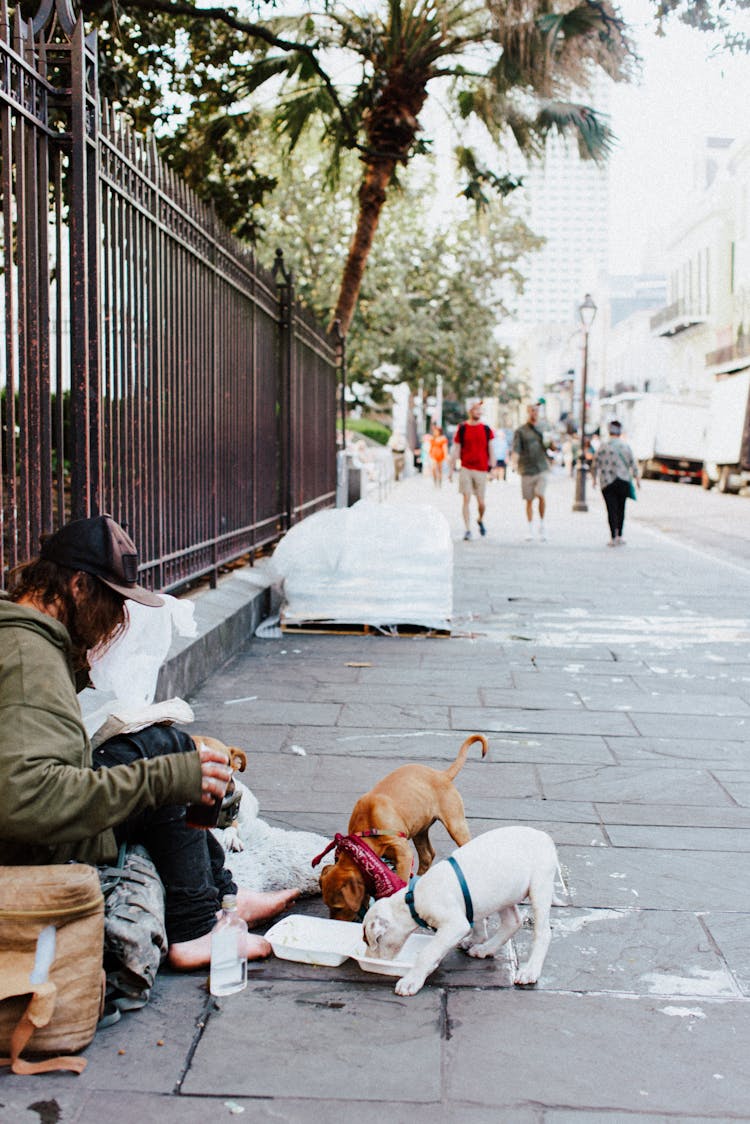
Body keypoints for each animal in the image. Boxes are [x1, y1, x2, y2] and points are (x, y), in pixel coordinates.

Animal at [319, 728, 490, 921]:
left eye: (338, 907)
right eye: (328, 905)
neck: (367, 830)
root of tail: (441, 775)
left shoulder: (403, 853)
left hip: (455, 824)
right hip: (419, 828)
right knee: (427, 855)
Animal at [362, 827, 562, 993]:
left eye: (369, 940)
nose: (369, 959)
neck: (413, 899)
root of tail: (544, 837)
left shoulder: (455, 925)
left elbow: (428, 952)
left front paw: (411, 980)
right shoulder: (470, 907)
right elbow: (477, 923)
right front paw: (475, 939)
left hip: (540, 886)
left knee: (543, 932)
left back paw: (530, 971)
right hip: (504, 893)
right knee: (512, 922)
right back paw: (485, 949)